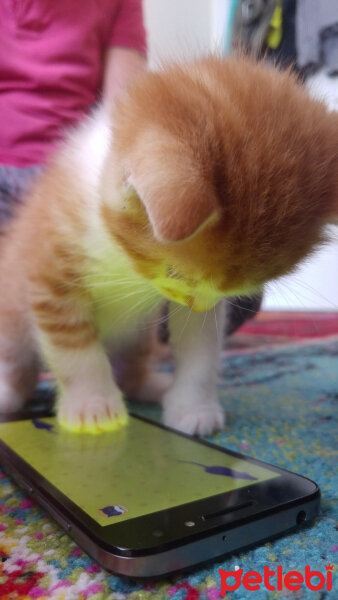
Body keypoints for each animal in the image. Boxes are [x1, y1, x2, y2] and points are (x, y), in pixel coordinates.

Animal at [0, 56, 338, 434]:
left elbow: (200, 348)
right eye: (174, 272)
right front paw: (93, 405)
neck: (116, 250)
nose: (201, 306)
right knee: (19, 365)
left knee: (130, 368)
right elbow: (75, 350)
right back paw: (9, 393)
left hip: (136, 336)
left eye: (238, 289)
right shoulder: (51, 277)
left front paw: (193, 408)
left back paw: (152, 385)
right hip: (11, 315)